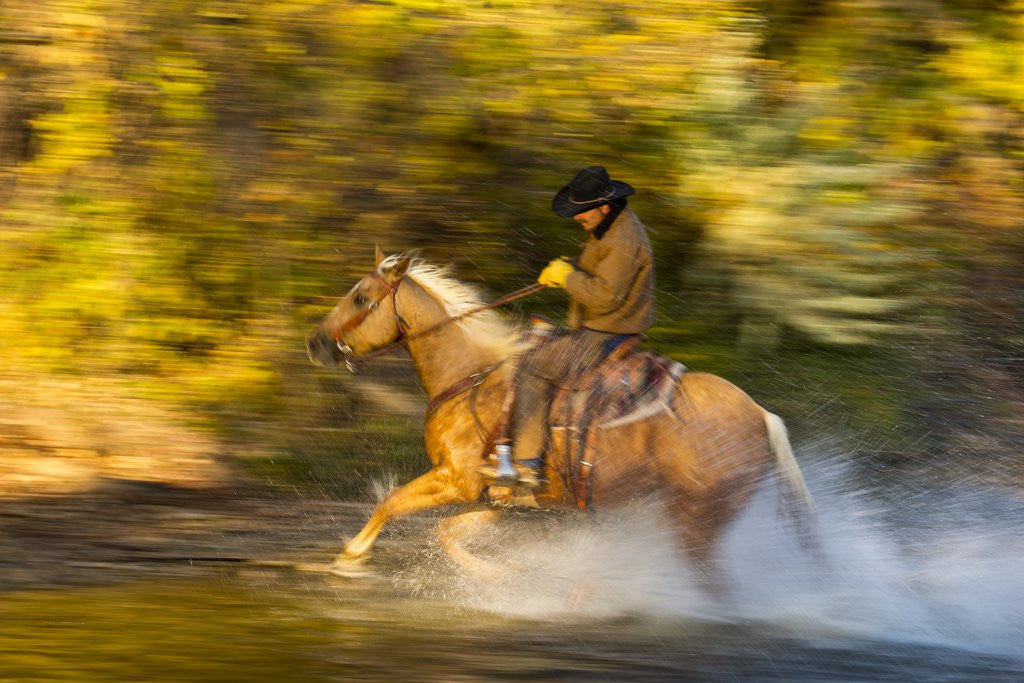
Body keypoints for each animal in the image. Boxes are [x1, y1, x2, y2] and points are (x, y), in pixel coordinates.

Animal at [305, 248, 820, 588]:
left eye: (361, 298)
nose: (315, 344)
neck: (469, 377)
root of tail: (760, 414)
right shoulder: (498, 500)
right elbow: (447, 533)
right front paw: (504, 576)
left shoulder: (456, 479)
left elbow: (391, 502)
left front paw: (351, 556)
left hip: (695, 517)